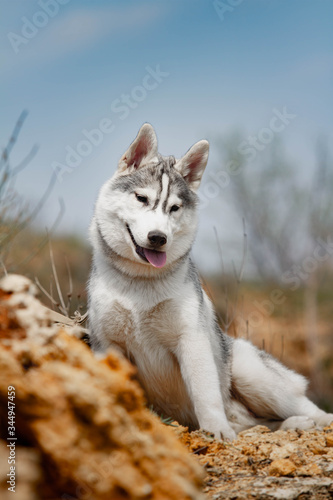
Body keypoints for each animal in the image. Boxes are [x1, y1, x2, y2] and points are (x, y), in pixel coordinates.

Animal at [88, 123, 332, 440]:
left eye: (174, 208)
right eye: (141, 198)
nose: (158, 238)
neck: (141, 282)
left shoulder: (192, 340)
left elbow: (206, 395)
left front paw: (216, 430)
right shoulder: (109, 345)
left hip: (251, 373)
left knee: (311, 411)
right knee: (259, 424)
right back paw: (291, 425)